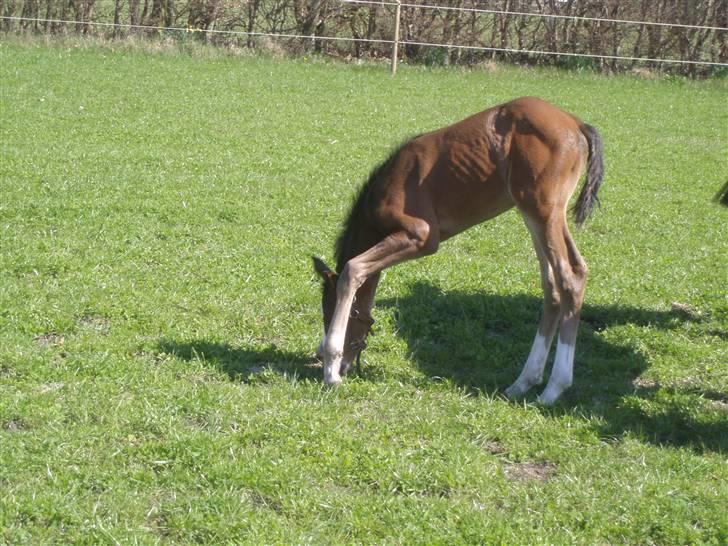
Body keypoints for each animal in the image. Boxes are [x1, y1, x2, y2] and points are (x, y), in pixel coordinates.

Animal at [312, 96, 604, 404]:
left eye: (329, 312)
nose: (339, 363)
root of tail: (577, 123)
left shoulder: (421, 236)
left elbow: (352, 269)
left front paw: (331, 371)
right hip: (532, 214)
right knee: (552, 284)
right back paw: (523, 382)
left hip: (544, 211)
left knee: (571, 274)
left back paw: (553, 388)